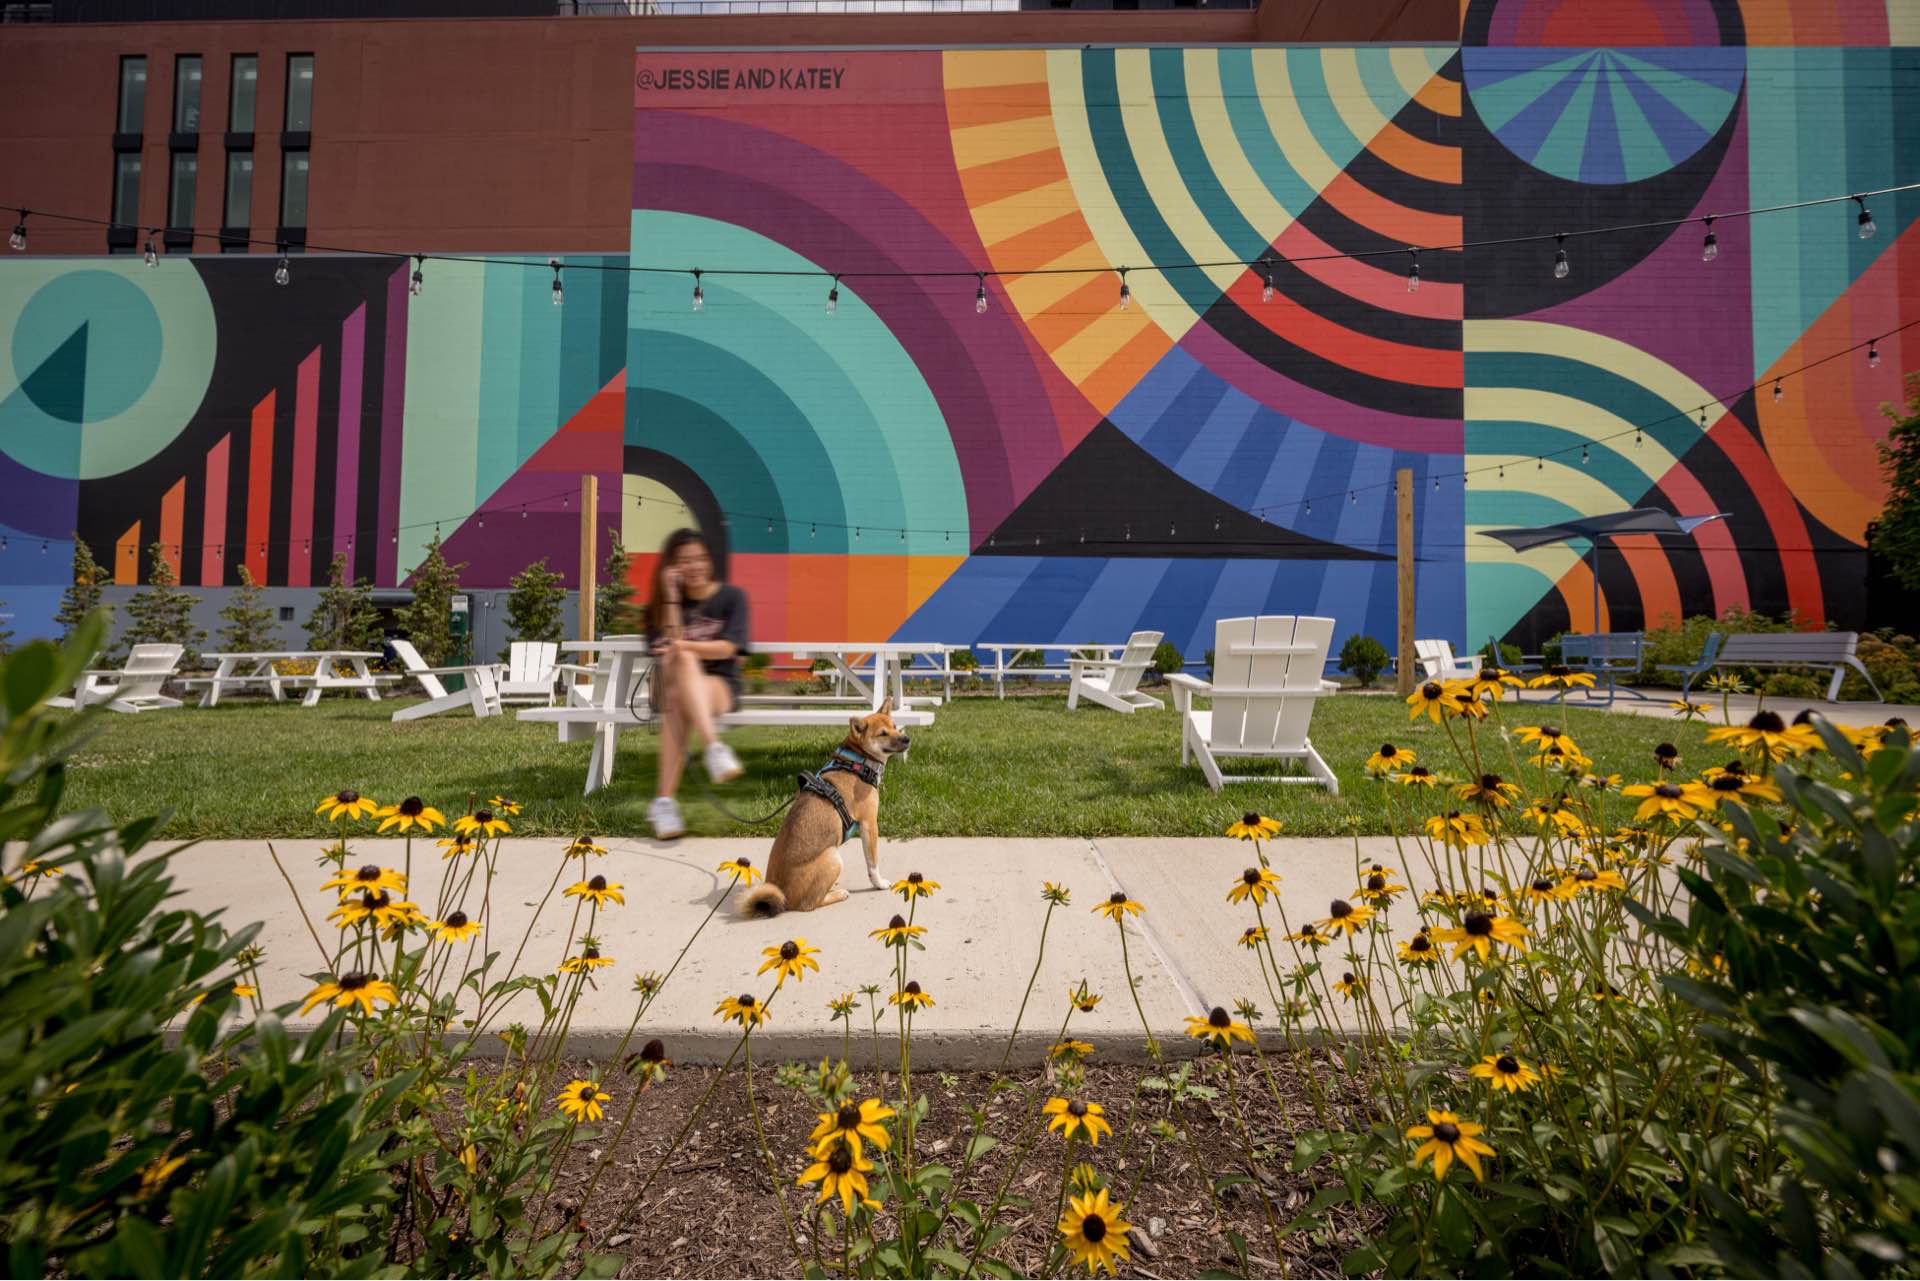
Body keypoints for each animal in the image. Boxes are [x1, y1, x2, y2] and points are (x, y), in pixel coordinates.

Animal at [737, 695, 910, 918]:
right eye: (883, 733)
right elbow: (872, 863)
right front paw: (879, 883)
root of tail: (783, 896)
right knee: (809, 904)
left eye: (895, 727)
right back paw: (838, 894)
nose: (907, 739)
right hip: (833, 857)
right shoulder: (869, 824)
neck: (857, 761)